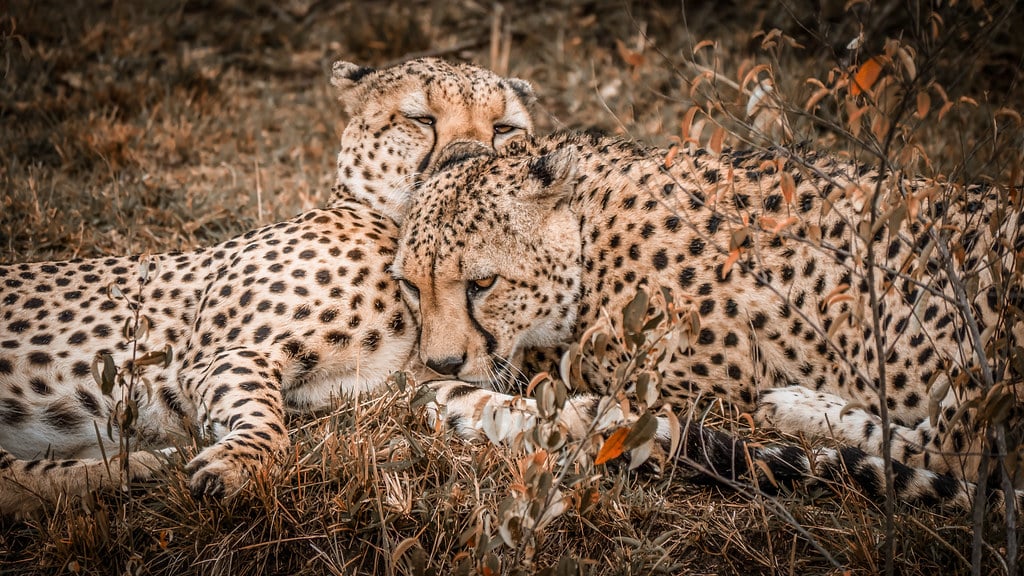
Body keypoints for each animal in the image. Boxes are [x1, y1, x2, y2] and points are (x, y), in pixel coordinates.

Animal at [0, 57, 535, 517]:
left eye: (504, 129)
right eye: (421, 118)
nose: (472, 159)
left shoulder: (407, 387)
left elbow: (496, 405)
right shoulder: (223, 355)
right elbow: (265, 419)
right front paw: (239, 464)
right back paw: (151, 465)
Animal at [393, 130, 1024, 517]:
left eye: (482, 284)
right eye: (411, 286)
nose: (442, 362)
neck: (590, 235)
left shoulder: (702, 385)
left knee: (953, 453)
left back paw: (796, 407)